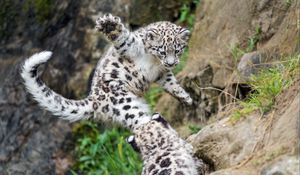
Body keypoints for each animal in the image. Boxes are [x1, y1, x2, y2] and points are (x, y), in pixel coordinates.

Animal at [21, 13, 192, 131]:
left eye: (177, 50)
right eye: (161, 51)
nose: (171, 63)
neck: (155, 62)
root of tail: (94, 99)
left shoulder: (161, 73)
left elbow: (171, 84)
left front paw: (185, 98)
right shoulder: (131, 48)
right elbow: (124, 39)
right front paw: (109, 25)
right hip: (125, 106)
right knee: (142, 125)